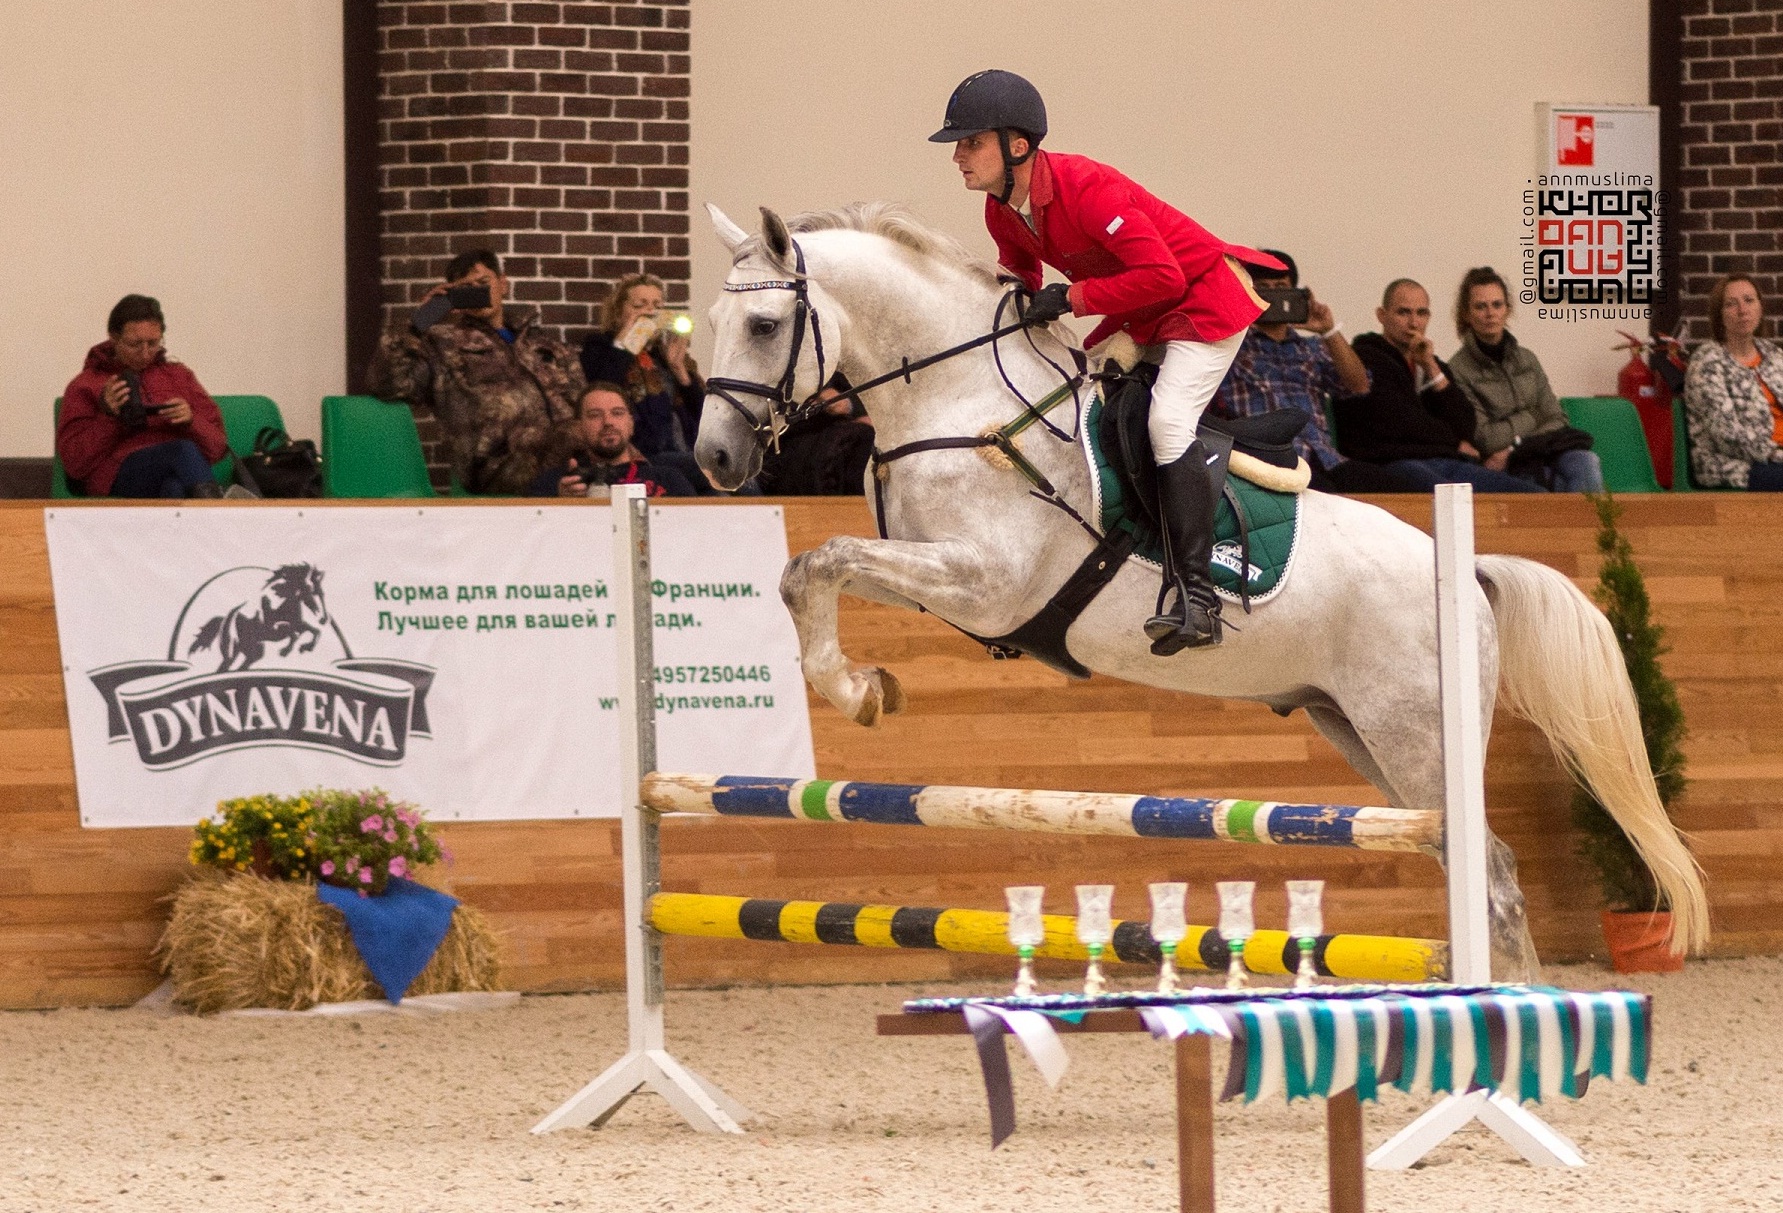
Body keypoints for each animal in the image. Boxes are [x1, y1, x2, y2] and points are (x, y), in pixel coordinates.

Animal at [688, 198, 1704, 977]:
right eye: (707, 324)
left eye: (765, 327)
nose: (714, 460)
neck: (961, 402)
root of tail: (1466, 571)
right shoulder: (936, 579)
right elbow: (807, 569)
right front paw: (864, 685)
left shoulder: (986, 581)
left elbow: (822, 559)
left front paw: (855, 690)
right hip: (1360, 729)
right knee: (1469, 859)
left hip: (1415, 734)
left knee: (1488, 872)